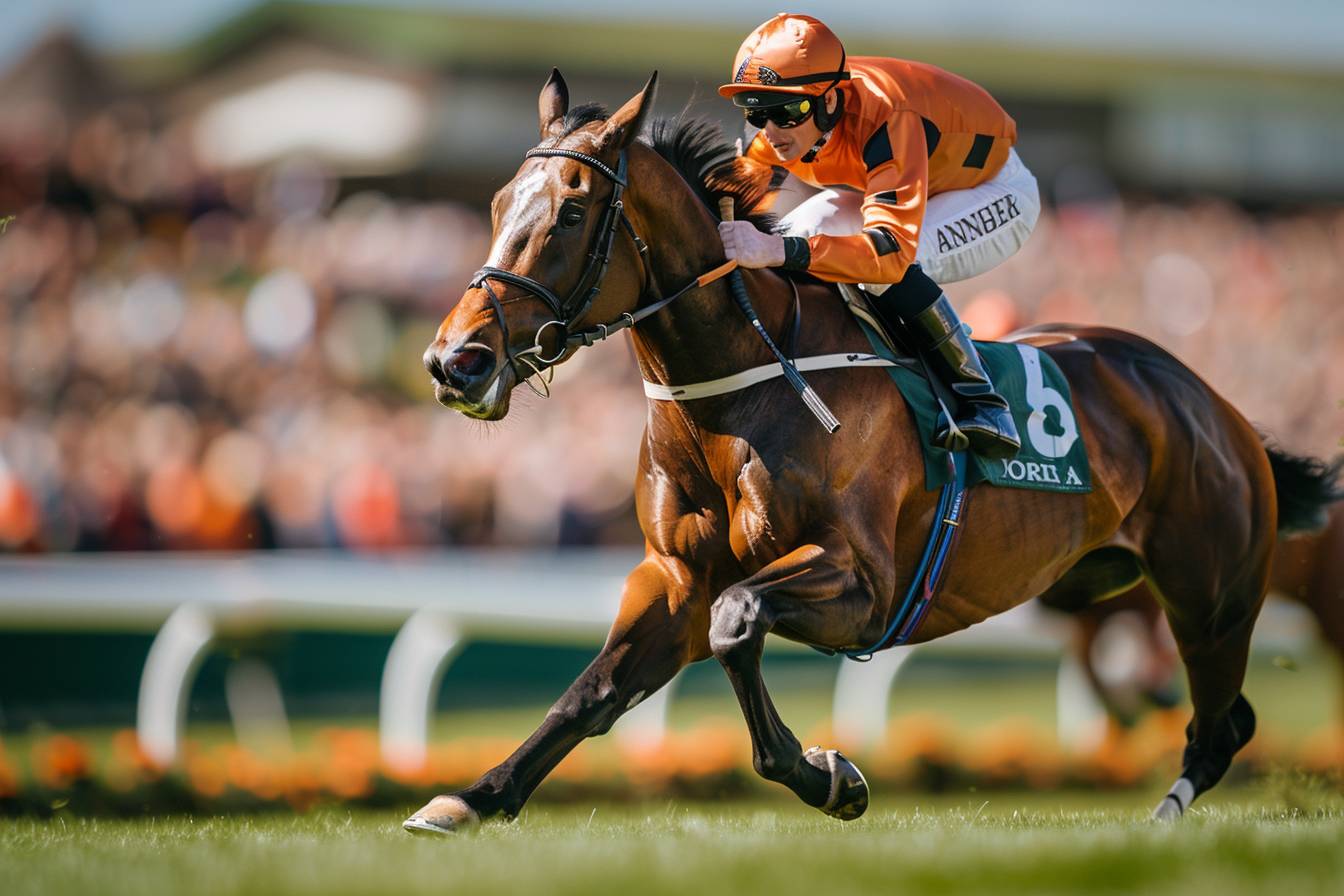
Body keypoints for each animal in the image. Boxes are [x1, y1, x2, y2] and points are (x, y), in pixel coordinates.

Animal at [411, 71, 1344, 832]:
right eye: (498, 203)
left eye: (571, 213)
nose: (456, 361)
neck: (739, 389)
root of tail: (1208, 399)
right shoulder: (673, 578)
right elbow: (593, 691)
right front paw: (472, 797)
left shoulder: (862, 584)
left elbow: (736, 622)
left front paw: (830, 776)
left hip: (1210, 595)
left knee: (1220, 726)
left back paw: (1159, 822)